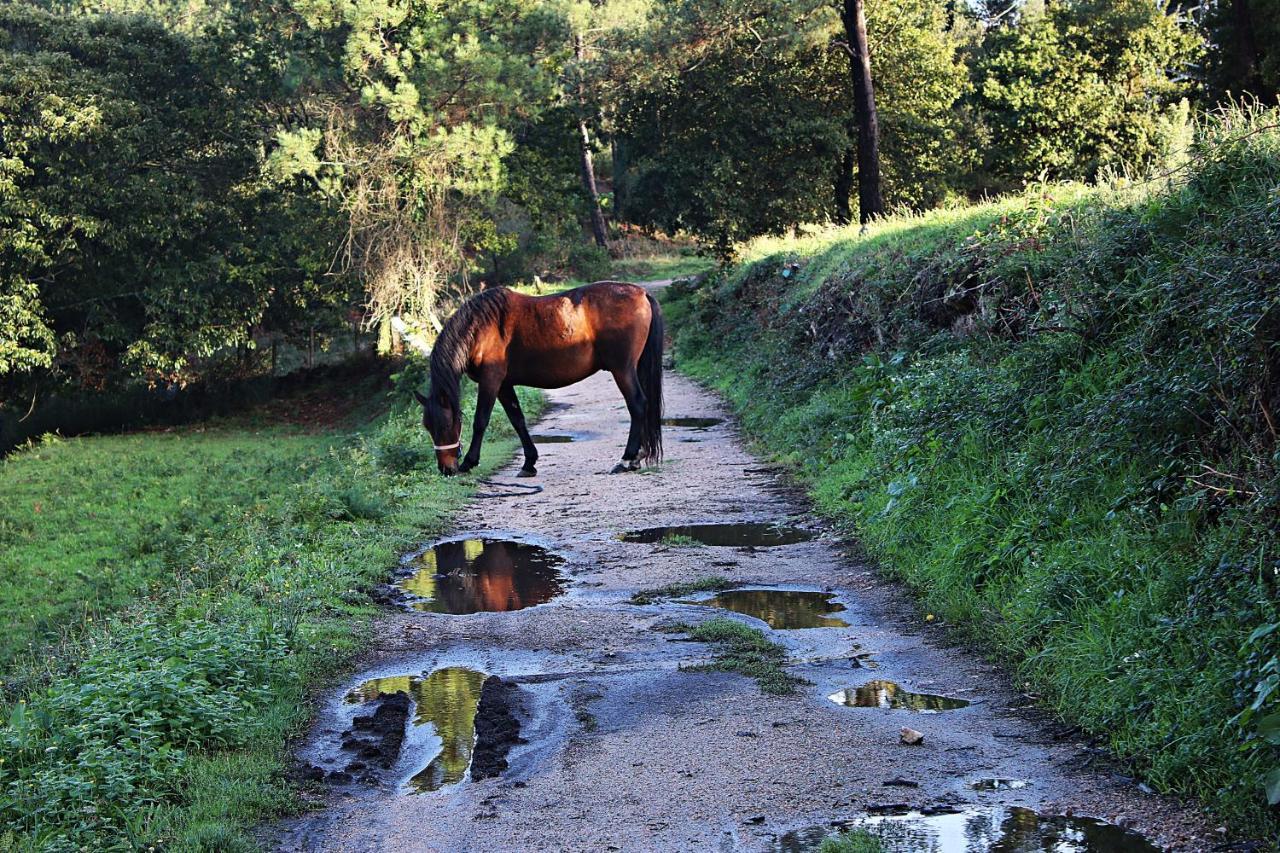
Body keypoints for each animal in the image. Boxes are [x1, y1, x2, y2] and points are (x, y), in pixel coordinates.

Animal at [414, 280, 665, 473]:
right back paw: (637, 457)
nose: (446, 469)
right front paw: (529, 462)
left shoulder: (490, 381)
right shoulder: (504, 385)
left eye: (446, 424)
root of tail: (642, 293)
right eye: (428, 426)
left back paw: (626, 459)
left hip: (622, 369)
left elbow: (481, 421)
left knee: (637, 405)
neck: (480, 328)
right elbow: (517, 419)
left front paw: (469, 461)